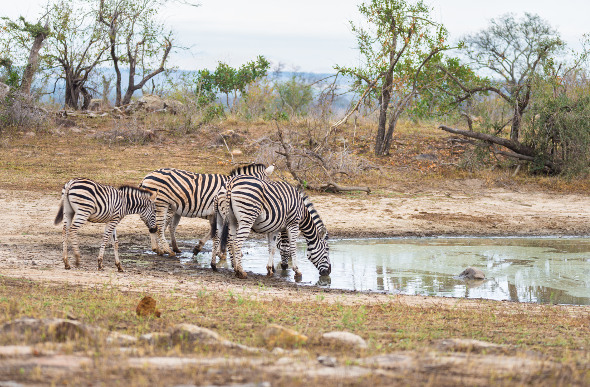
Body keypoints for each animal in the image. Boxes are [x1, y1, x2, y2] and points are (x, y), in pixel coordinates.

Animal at [140, 164, 276, 258]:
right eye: (266, 191)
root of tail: (147, 176)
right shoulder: (222, 213)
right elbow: (221, 233)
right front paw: (223, 253)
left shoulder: (214, 215)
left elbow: (213, 232)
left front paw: (200, 248)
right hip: (162, 204)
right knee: (160, 226)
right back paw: (166, 250)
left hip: (168, 207)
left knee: (161, 226)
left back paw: (160, 249)